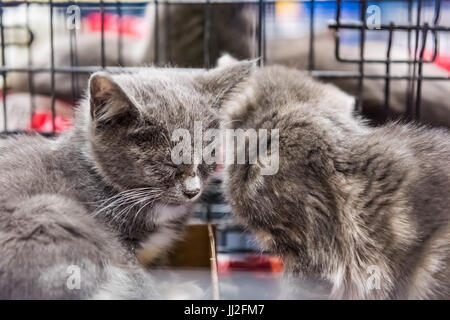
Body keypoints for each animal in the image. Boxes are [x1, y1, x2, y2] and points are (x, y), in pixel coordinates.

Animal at [0, 60, 255, 300]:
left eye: (207, 157)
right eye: (167, 162)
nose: (193, 191)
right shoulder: (112, 239)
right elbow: (136, 280)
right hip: (50, 213)